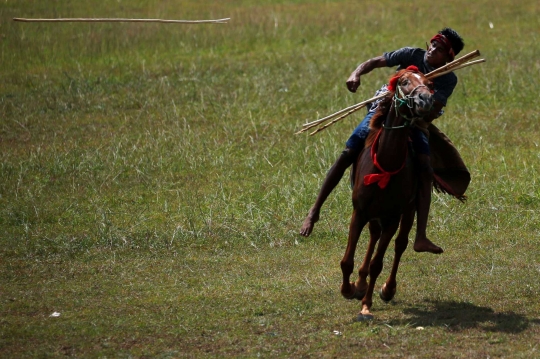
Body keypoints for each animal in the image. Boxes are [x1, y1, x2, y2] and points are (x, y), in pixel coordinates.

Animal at [342, 67, 434, 320]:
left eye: (429, 83)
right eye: (403, 81)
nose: (425, 99)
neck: (385, 163)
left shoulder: (393, 218)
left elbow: (378, 263)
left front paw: (366, 304)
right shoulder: (359, 212)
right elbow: (347, 260)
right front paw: (348, 288)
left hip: (408, 211)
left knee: (400, 244)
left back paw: (387, 288)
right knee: (374, 234)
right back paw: (360, 283)